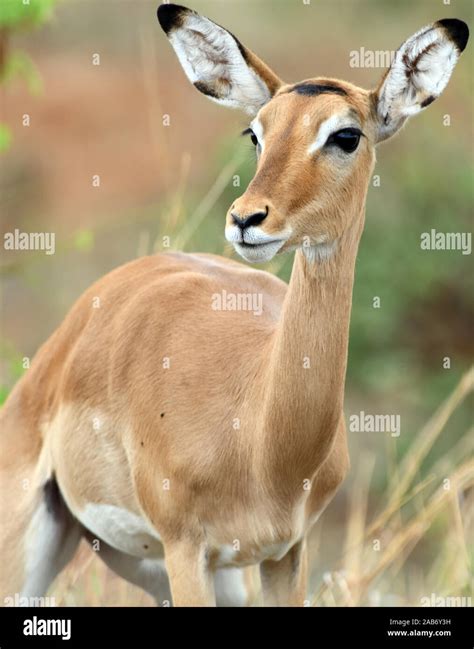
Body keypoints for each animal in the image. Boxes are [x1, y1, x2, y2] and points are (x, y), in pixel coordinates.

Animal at [0, 4, 468, 607]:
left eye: (346, 135)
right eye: (255, 132)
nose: (247, 218)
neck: (259, 441)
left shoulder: (286, 552)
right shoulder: (186, 550)